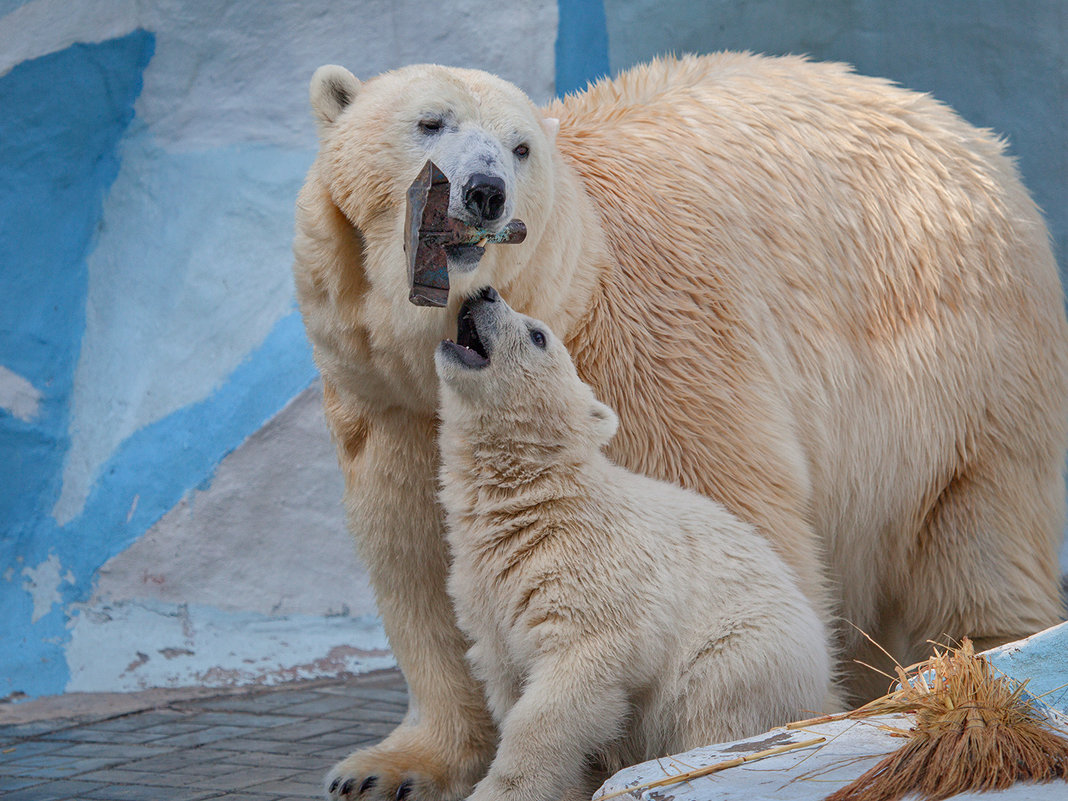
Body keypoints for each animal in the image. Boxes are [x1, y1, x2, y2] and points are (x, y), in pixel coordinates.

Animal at [292, 53, 1068, 798]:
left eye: (520, 148)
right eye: (430, 121)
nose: (485, 190)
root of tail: (970, 137)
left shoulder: (645, 346)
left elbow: (713, 524)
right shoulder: (387, 402)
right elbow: (419, 563)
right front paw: (384, 768)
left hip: (964, 367)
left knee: (976, 537)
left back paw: (983, 662)